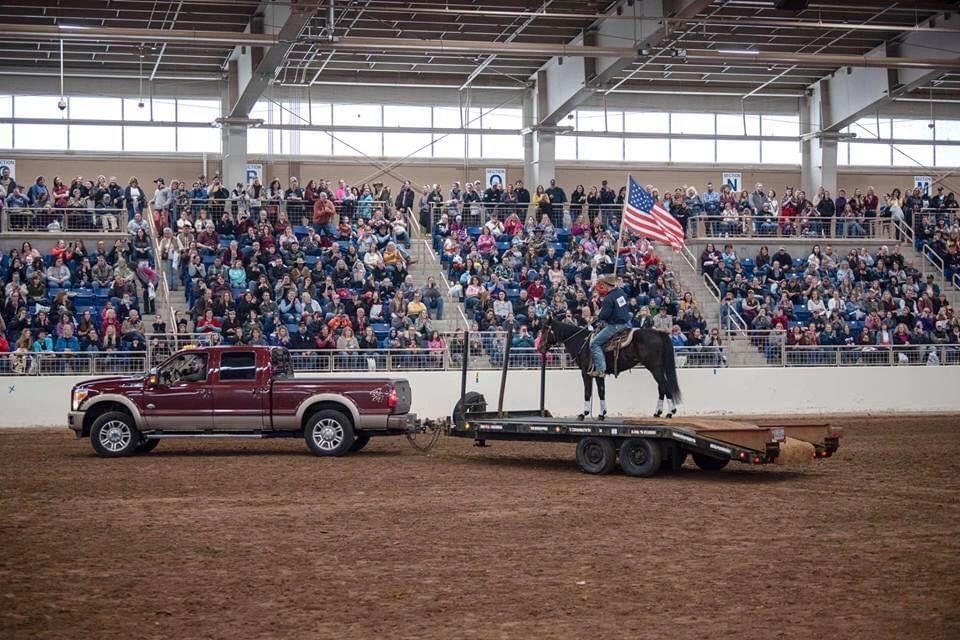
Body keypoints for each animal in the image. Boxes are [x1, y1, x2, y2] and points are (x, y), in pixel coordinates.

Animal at [540, 318, 684, 420]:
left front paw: (583, 413)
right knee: (661, 387)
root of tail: (659, 333)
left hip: (655, 368)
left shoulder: (585, 373)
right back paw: (657, 412)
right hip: (656, 367)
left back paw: (671, 412)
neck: (582, 342)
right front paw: (602, 414)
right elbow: (601, 392)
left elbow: (587, 392)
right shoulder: (598, 373)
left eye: (545, 329)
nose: (539, 347)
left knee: (664, 385)